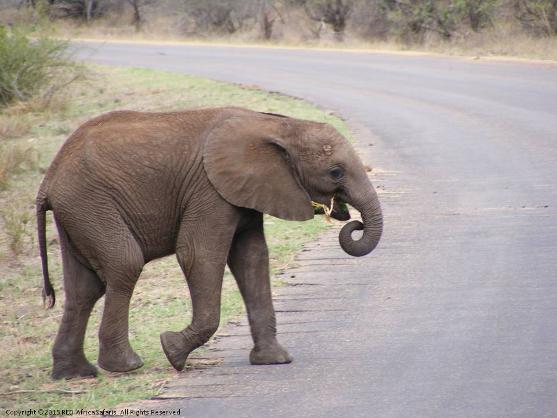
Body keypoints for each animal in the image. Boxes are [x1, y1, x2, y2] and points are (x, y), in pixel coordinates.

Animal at [37, 107, 380, 378]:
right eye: (335, 172)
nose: (355, 223)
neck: (276, 125)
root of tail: (48, 180)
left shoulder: (246, 191)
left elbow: (252, 258)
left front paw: (274, 361)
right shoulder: (210, 191)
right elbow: (198, 255)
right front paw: (172, 351)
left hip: (78, 212)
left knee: (84, 288)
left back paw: (74, 373)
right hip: (90, 203)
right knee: (124, 264)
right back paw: (125, 366)